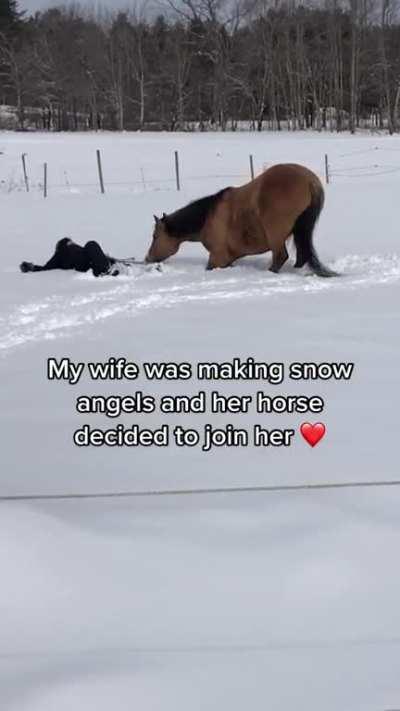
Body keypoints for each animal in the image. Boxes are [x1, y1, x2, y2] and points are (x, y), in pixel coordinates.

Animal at [145, 163, 337, 277]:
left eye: (155, 236)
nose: (148, 258)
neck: (208, 217)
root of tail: (310, 181)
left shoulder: (217, 256)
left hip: (276, 235)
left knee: (280, 256)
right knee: (301, 255)